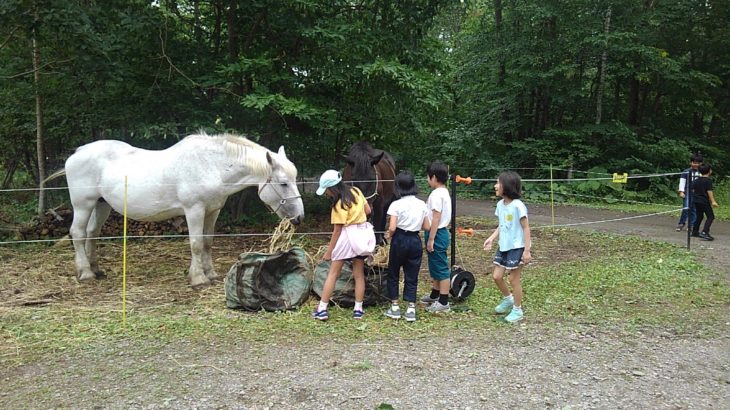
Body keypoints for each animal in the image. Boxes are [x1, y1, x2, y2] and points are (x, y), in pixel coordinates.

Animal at [47, 134, 304, 288]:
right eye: (283, 183)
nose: (299, 217)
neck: (210, 166)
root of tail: (77, 154)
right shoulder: (194, 210)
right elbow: (196, 244)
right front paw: (198, 278)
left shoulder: (212, 211)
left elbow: (208, 242)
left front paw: (210, 274)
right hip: (83, 204)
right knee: (78, 233)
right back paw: (85, 273)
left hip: (101, 205)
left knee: (92, 233)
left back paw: (96, 269)